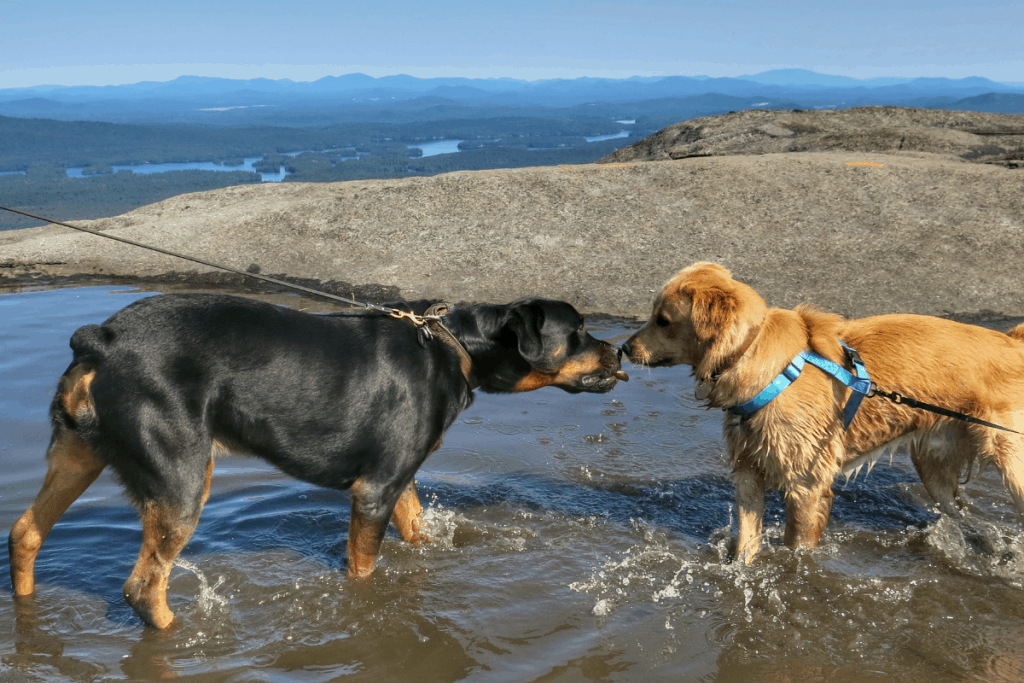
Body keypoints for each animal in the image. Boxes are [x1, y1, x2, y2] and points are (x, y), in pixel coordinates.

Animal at [9, 290, 622, 626]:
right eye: (579, 330)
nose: (617, 350)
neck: (456, 347)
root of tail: (102, 339)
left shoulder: (397, 482)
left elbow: (419, 533)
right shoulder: (375, 491)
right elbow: (364, 571)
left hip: (78, 453)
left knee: (25, 533)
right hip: (181, 478)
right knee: (142, 587)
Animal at [618, 264, 1024, 565]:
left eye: (663, 319)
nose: (623, 347)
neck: (758, 359)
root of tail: (1013, 342)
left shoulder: (806, 484)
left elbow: (797, 545)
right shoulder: (749, 471)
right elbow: (746, 542)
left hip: (1012, 459)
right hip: (935, 467)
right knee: (966, 512)